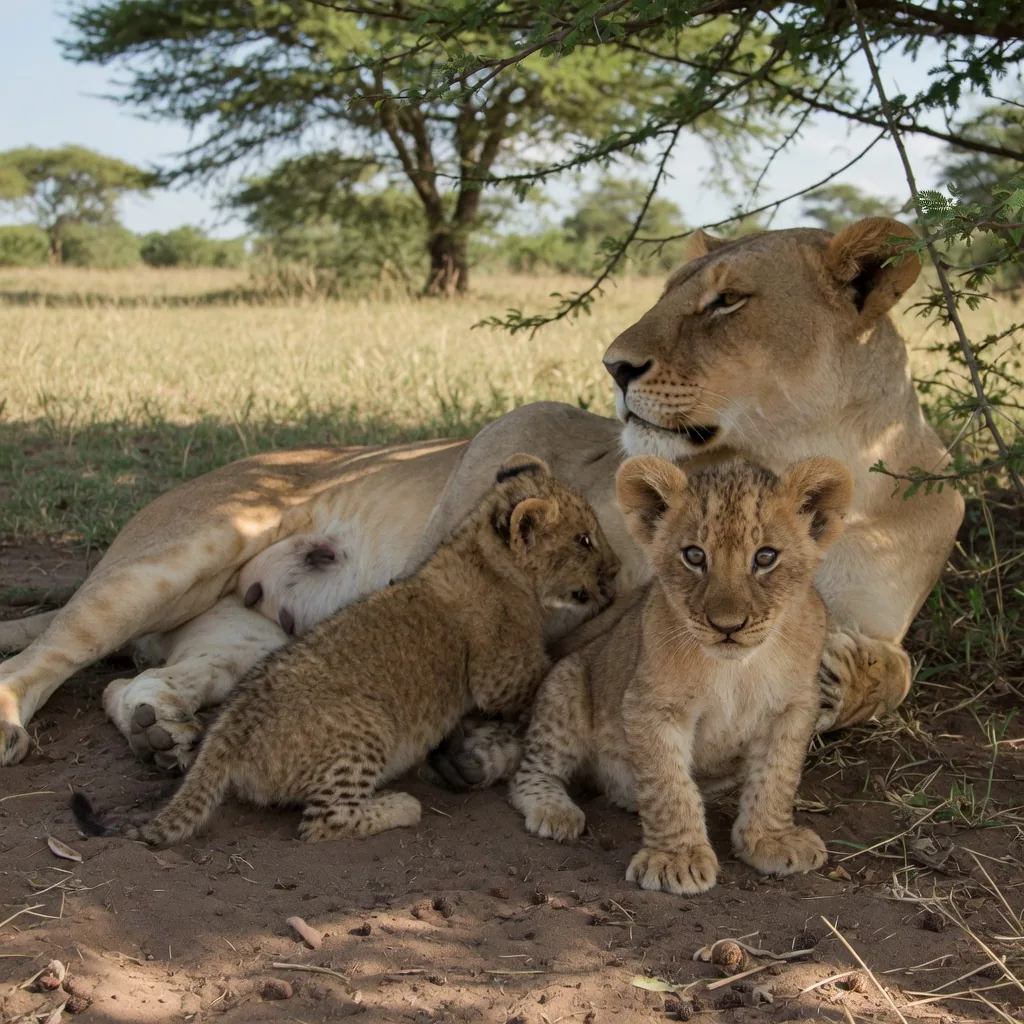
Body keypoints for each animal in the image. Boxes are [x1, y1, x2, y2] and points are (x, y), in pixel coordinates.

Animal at [0, 218, 964, 771]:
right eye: (666, 295)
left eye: (728, 303)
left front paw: (849, 676)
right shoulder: (521, 439)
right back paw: (18, 722)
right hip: (189, 546)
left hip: (243, 632)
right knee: (41, 656)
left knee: (138, 681)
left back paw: (158, 729)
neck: (801, 464)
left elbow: (901, 667)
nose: (613, 366)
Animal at [72, 455, 619, 842]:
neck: (478, 550)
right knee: (322, 821)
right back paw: (400, 806)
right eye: (586, 540)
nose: (615, 571)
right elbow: (546, 672)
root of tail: (225, 740)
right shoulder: (500, 676)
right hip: (366, 728)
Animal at [510, 454, 853, 894]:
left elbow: (777, 776)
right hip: (566, 686)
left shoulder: (793, 707)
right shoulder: (651, 706)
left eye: (765, 557)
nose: (728, 626)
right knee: (530, 772)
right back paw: (556, 811)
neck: (737, 669)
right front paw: (677, 860)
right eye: (694, 555)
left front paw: (769, 839)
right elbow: (668, 784)